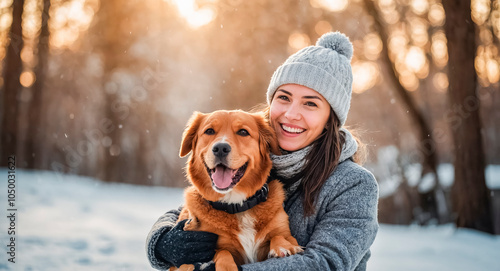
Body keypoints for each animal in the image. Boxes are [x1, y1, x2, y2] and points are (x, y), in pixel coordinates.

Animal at [173, 110, 300, 271]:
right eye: (209, 131)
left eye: (243, 132)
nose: (220, 148)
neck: (237, 205)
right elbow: (222, 252)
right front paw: (227, 266)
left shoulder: (285, 231)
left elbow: (280, 236)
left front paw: (284, 247)